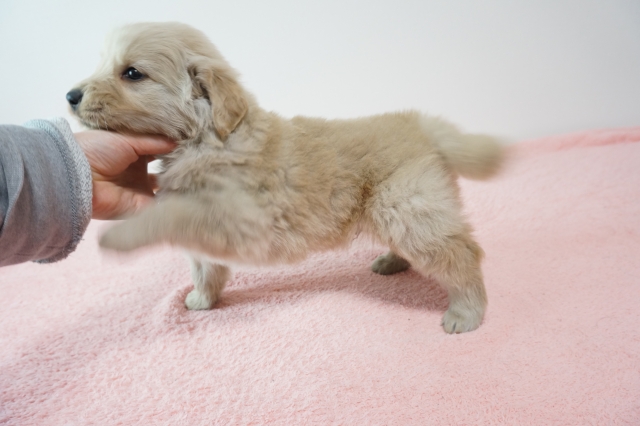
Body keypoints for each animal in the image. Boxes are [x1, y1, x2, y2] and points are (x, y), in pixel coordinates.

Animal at [67, 22, 503, 333]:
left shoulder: (238, 218)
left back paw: (467, 312)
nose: (70, 96)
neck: (209, 137)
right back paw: (392, 262)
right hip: (397, 210)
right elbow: (203, 264)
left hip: (407, 207)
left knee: (462, 253)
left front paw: (121, 236)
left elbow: (170, 218)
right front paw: (202, 299)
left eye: (132, 73)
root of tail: (420, 124)